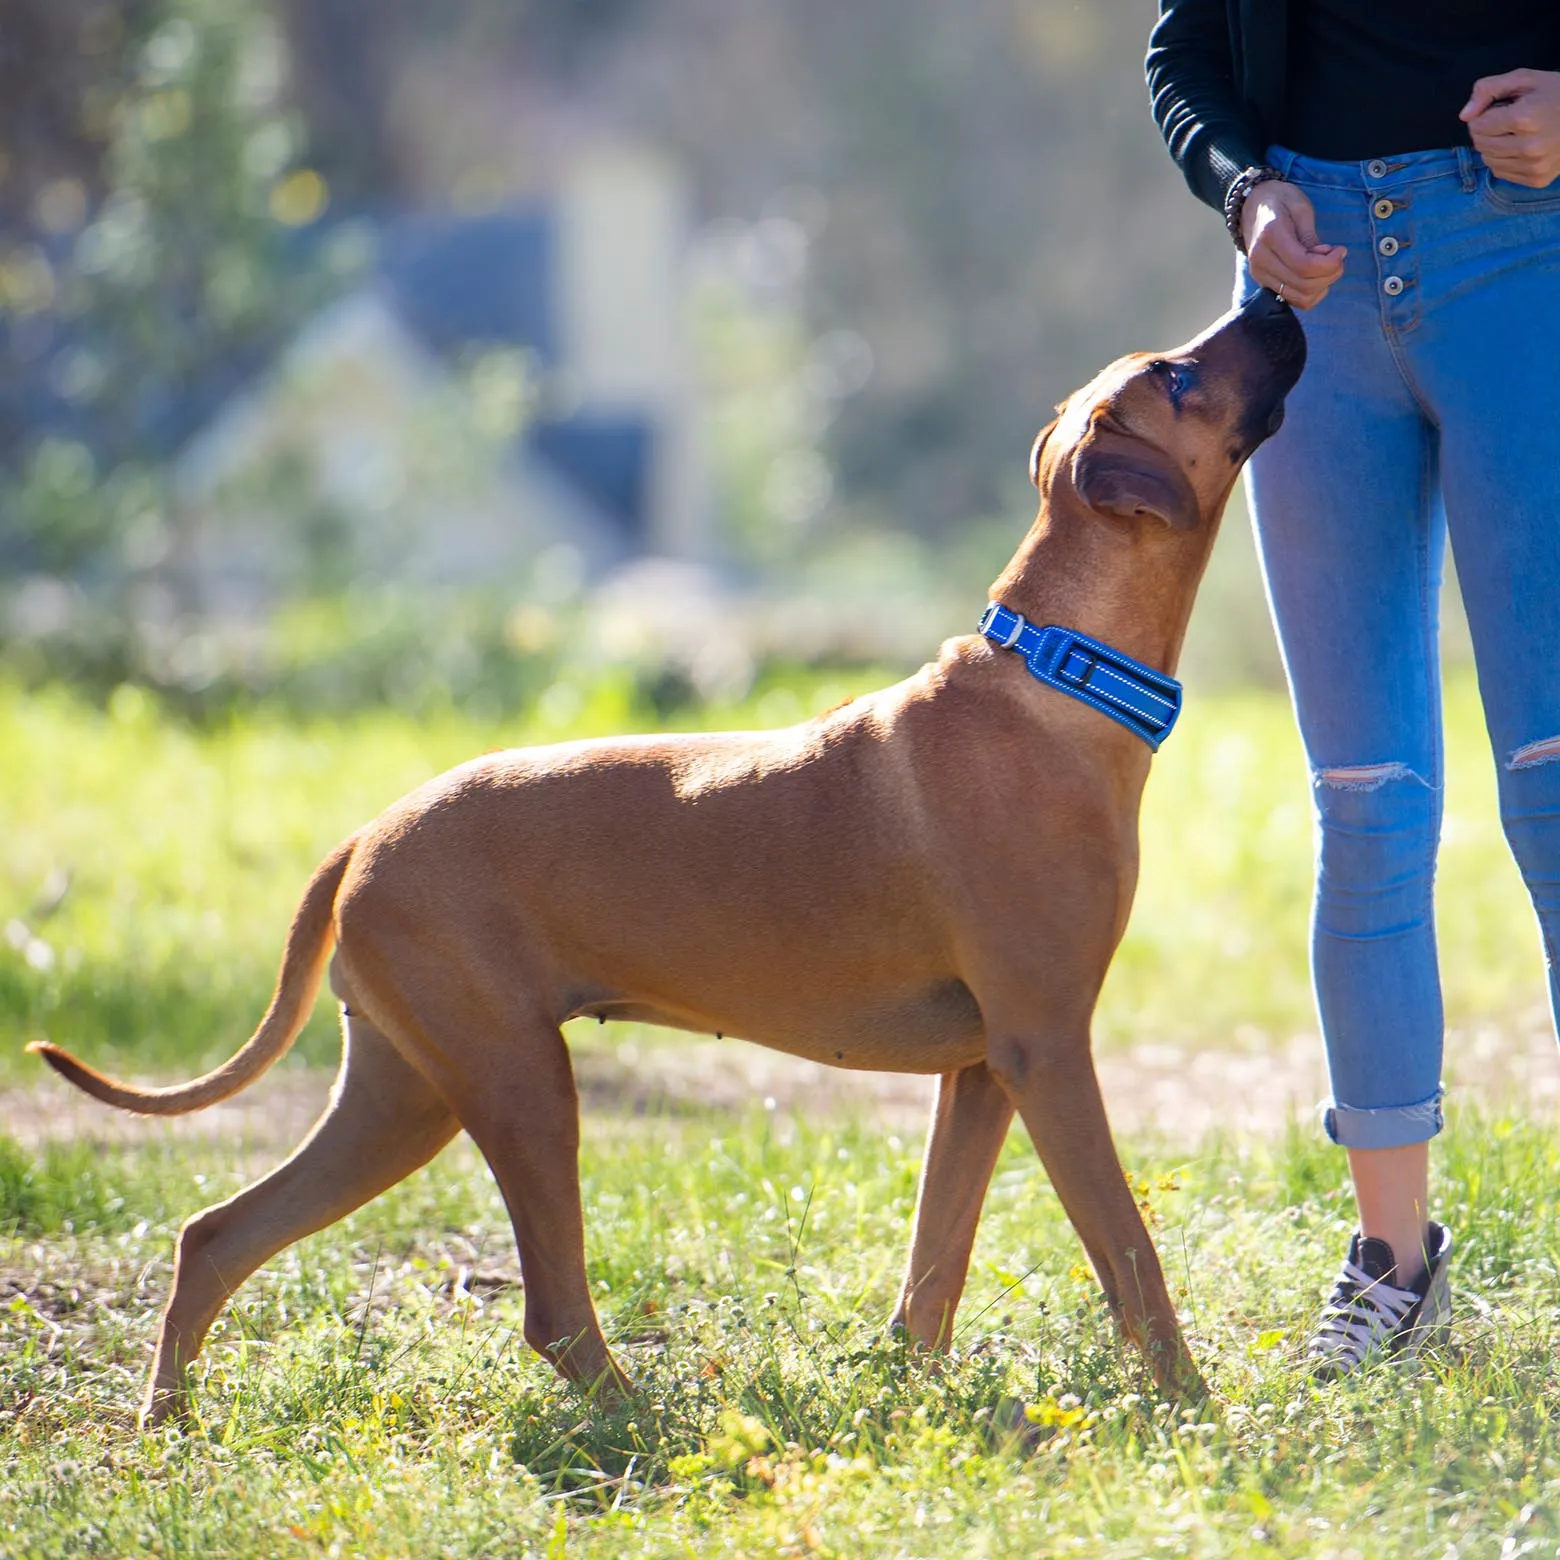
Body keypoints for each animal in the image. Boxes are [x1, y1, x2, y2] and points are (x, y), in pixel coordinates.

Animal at [33, 293, 1304, 1428]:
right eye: (1177, 375)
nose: (1278, 301)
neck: (1057, 677)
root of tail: (367, 836)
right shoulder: (1048, 1051)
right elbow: (1130, 1255)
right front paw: (1195, 1410)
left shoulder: (985, 1071)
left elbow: (934, 1266)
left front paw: (911, 1397)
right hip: (517, 1087)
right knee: (549, 1313)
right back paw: (644, 1426)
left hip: (403, 1096)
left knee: (214, 1236)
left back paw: (167, 1422)